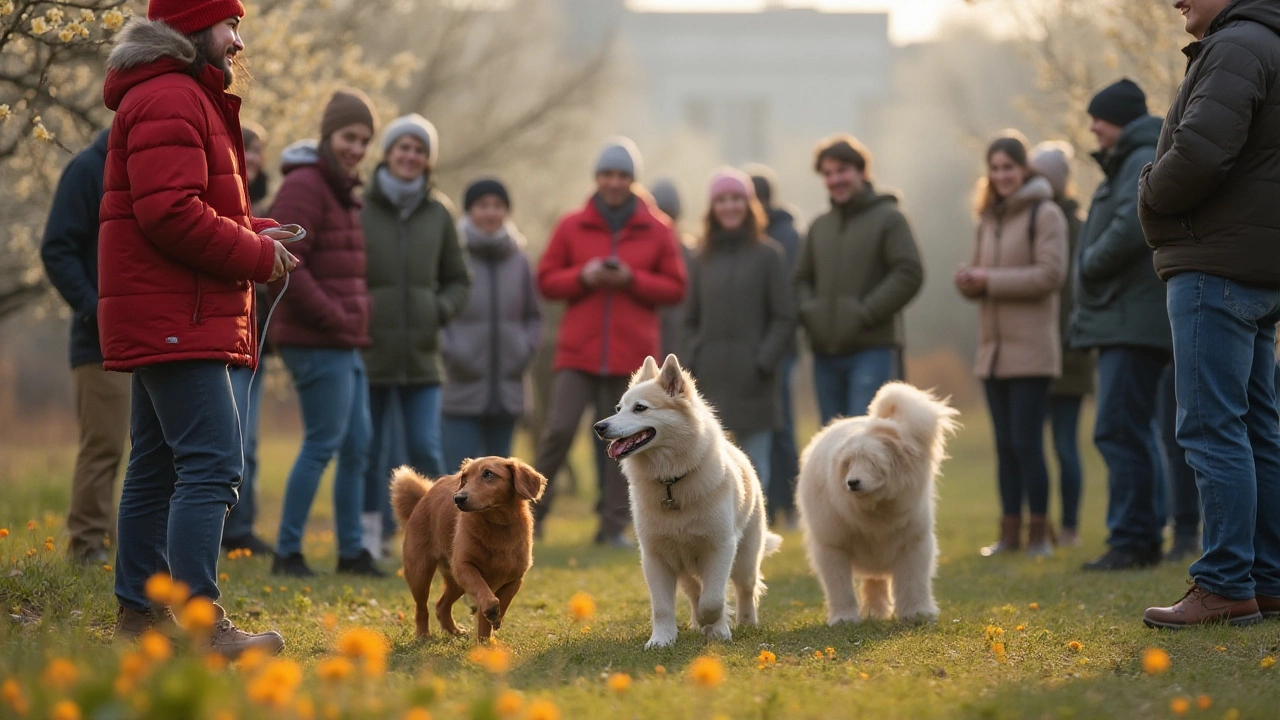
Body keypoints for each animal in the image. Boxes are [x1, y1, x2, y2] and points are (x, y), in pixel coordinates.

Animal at [391, 453, 547, 638]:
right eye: (464, 478)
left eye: (488, 474)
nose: (458, 498)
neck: (497, 526)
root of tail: (423, 498)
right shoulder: (465, 568)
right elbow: (488, 599)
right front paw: (492, 614)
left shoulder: (514, 579)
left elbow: (497, 609)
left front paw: (488, 639)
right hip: (420, 572)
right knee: (421, 608)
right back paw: (423, 635)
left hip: (455, 581)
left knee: (441, 606)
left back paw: (455, 632)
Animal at [593, 353, 783, 645]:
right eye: (618, 408)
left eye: (640, 408)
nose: (599, 427)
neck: (671, 482)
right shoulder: (655, 556)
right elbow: (663, 606)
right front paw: (662, 639)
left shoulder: (720, 548)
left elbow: (713, 600)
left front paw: (715, 626)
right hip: (683, 568)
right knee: (695, 590)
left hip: (745, 558)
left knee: (746, 589)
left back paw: (744, 623)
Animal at [793, 381, 957, 622]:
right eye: (848, 462)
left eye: (872, 461)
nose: (852, 482)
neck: (876, 511)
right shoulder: (833, 546)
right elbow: (839, 586)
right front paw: (844, 618)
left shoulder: (913, 543)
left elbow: (914, 582)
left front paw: (918, 614)